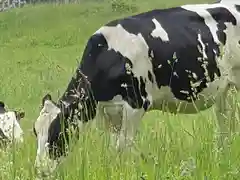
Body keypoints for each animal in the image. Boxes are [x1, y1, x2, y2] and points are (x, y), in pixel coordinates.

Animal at [32, 0, 240, 177]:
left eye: (56, 133)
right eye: (35, 132)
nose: (40, 170)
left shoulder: (134, 105)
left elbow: (123, 146)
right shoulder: (107, 113)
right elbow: (114, 147)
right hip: (224, 90)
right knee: (225, 121)